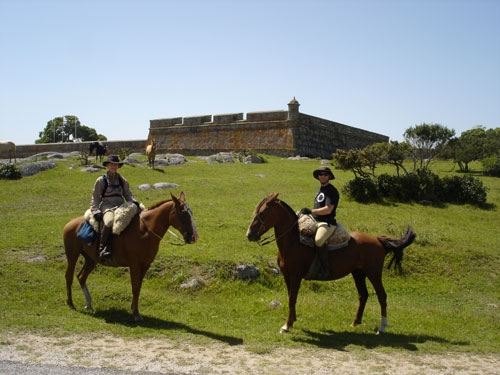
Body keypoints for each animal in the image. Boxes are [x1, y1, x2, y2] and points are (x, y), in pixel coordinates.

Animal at [64, 192, 199, 322]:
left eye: (191, 213)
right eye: (183, 213)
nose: (194, 237)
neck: (144, 231)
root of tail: (69, 224)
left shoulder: (145, 265)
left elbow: (138, 288)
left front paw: (134, 310)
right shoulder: (135, 265)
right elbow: (135, 287)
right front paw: (136, 314)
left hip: (91, 260)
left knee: (81, 277)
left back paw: (88, 304)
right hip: (72, 255)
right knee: (69, 276)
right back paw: (70, 304)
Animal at [245, 194, 414, 334]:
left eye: (263, 213)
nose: (249, 235)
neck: (293, 242)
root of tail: (378, 240)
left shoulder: (296, 276)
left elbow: (292, 298)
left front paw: (286, 325)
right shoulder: (287, 275)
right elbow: (290, 297)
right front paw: (292, 321)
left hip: (374, 274)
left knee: (382, 296)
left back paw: (382, 327)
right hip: (358, 273)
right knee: (363, 295)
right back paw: (355, 322)